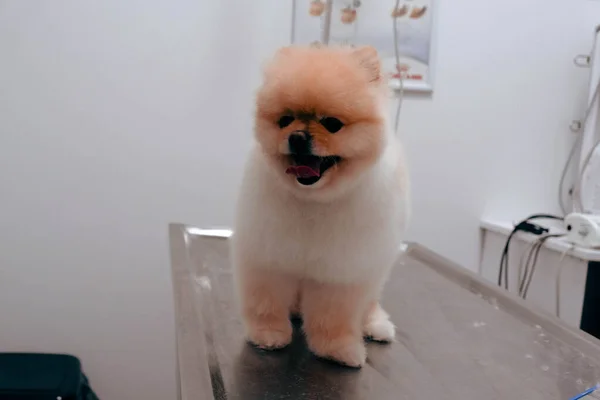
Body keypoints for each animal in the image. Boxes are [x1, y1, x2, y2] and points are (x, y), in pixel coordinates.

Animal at [232, 45, 410, 368]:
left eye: (332, 124)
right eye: (284, 120)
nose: (297, 137)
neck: (314, 200)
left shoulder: (341, 271)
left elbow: (334, 317)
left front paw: (337, 349)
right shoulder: (268, 255)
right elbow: (266, 300)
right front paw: (267, 333)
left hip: (375, 269)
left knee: (370, 301)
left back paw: (375, 325)